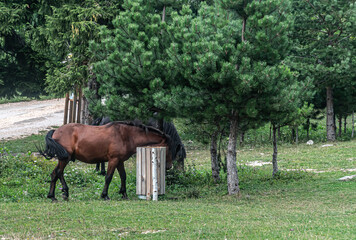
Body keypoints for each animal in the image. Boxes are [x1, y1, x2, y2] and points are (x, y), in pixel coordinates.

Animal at [38, 121, 172, 202]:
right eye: (168, 148)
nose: (169, 166)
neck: (125, 135)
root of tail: (55, 131)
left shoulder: (120, 161)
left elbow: (123, 176)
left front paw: (124, 194)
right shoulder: (113, 160)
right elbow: (108, 177)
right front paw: (105, 195)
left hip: (62, 159)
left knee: (55, 173)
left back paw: (53, 196)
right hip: (64, 159)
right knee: (59, 173)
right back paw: (64, 193)